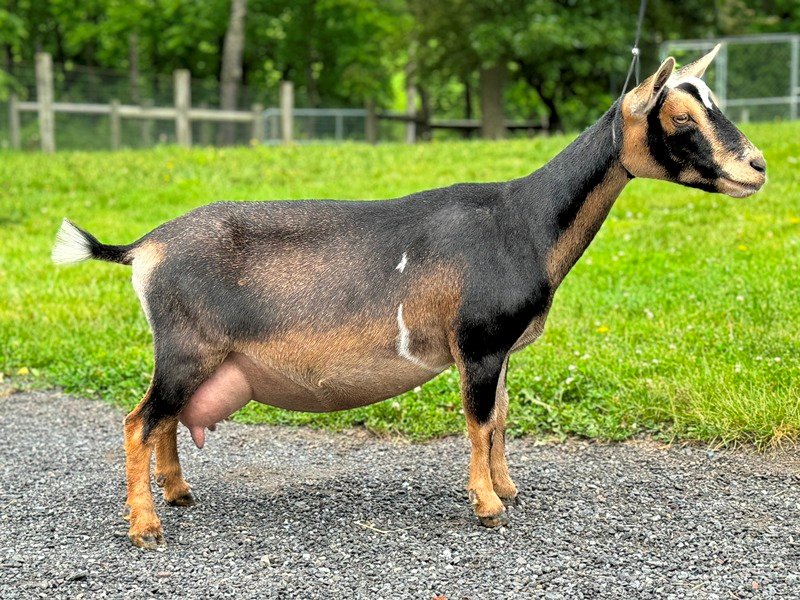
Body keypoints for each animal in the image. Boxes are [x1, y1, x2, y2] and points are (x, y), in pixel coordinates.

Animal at [52, 45, 766, 549]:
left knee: (164, 420)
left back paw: (178, 496)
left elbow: (500, 418)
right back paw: (147, 528)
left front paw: (508, 488)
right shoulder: (478, 341)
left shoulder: (498, 351)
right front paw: (489, 508)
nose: (757, 167)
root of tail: (144, 247)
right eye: (681, 118)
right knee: (139, 421)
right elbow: (479, 421)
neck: (520, 221)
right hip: (185, 348)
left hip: (190, 356)